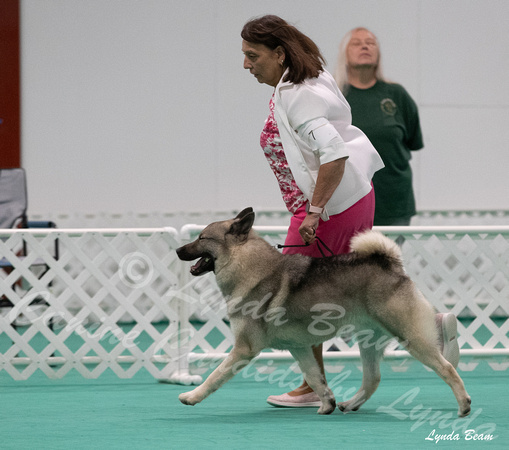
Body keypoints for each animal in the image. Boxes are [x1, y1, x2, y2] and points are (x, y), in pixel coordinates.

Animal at [177, 209, 470, 416]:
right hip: (369, 342)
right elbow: (314, 376)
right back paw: (350, 404)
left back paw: (463, 403)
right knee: (372, 378)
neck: (249, 265)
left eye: (202, 238)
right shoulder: (299, 347)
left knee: (445, 367)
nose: (178, 249)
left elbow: (216, 375)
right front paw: (328, 402)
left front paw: (192, 397)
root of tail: (389, 263)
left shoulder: (243, 349)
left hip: (409, 335)